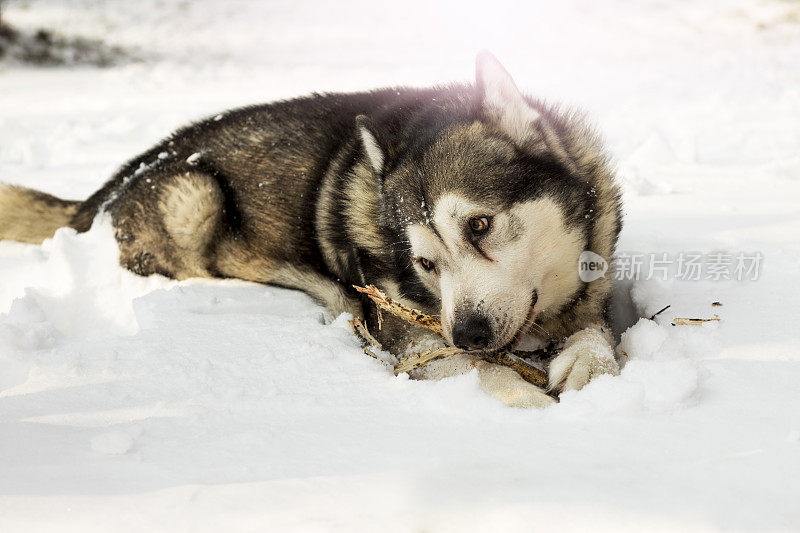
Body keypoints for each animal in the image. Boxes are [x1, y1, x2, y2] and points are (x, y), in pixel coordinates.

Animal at [0, 52, 620, 406]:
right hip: (194, 195)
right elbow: (479, 374)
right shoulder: (413, 335)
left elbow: (594, 331)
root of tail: (105, 187)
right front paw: (530, 406)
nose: (467, 332)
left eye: (480, 224)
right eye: (426, 263)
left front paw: (589, 364)